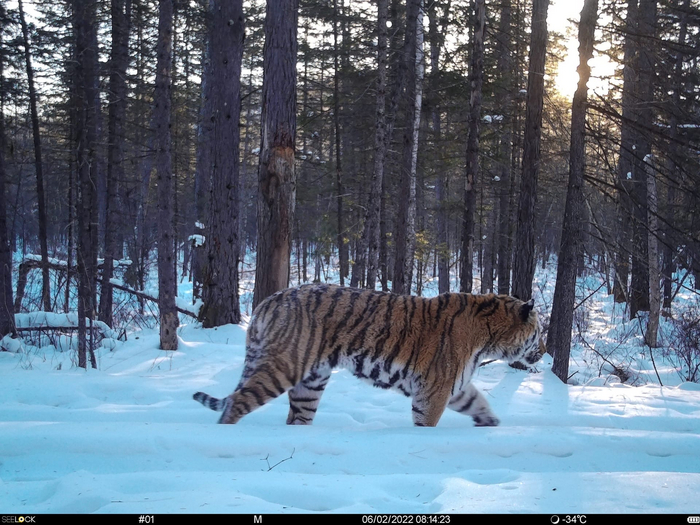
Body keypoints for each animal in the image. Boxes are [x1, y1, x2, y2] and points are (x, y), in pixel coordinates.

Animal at [193, 284, 546, 427]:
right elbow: (428, 423)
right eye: (539, 333)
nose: (544, 352)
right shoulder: (433, 391)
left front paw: (491, 426)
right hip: (283, 366)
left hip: (311, 383)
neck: (490, 338)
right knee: (237, 403)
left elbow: (479, 403)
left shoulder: (453, 386)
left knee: (296, 417)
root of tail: (270, 300)